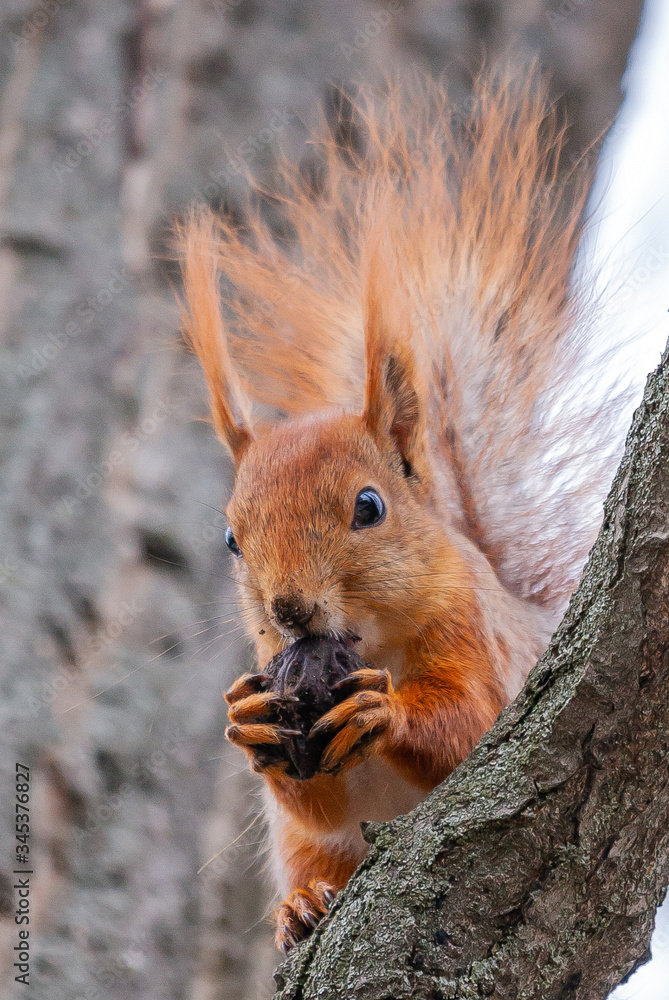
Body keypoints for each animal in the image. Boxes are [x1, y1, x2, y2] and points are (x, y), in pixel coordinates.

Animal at [176, 66, 616, 948]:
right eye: (232, 540)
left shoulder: (474, 637)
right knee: (314, 852)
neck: (366, 639)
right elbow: (309, 793)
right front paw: (247, 719)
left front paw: (385, 711)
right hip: (300, 848)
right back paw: (302, 905)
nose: (288, 608)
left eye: (369, 506)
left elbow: (470, 726)